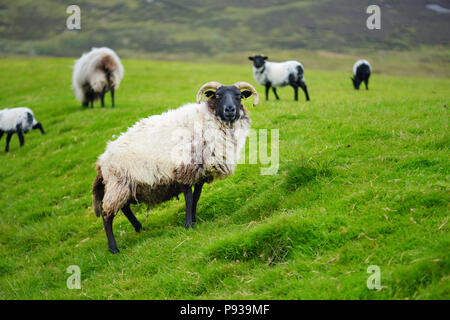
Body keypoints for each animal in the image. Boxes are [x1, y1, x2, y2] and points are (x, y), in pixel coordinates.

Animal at [92, 81, 260, 254]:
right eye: (218, 96)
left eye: (239, 96)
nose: (230, 109)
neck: (209, 121)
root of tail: (102, 160)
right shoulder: (183, 169)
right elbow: (188, 197)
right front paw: (188, 225)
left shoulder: (200, 174)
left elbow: (196, 197)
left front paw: (194, 219)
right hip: (118, 183)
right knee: (107, 214)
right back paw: (113, 248)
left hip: (127, 185)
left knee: (125, 208)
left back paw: (140, 228)